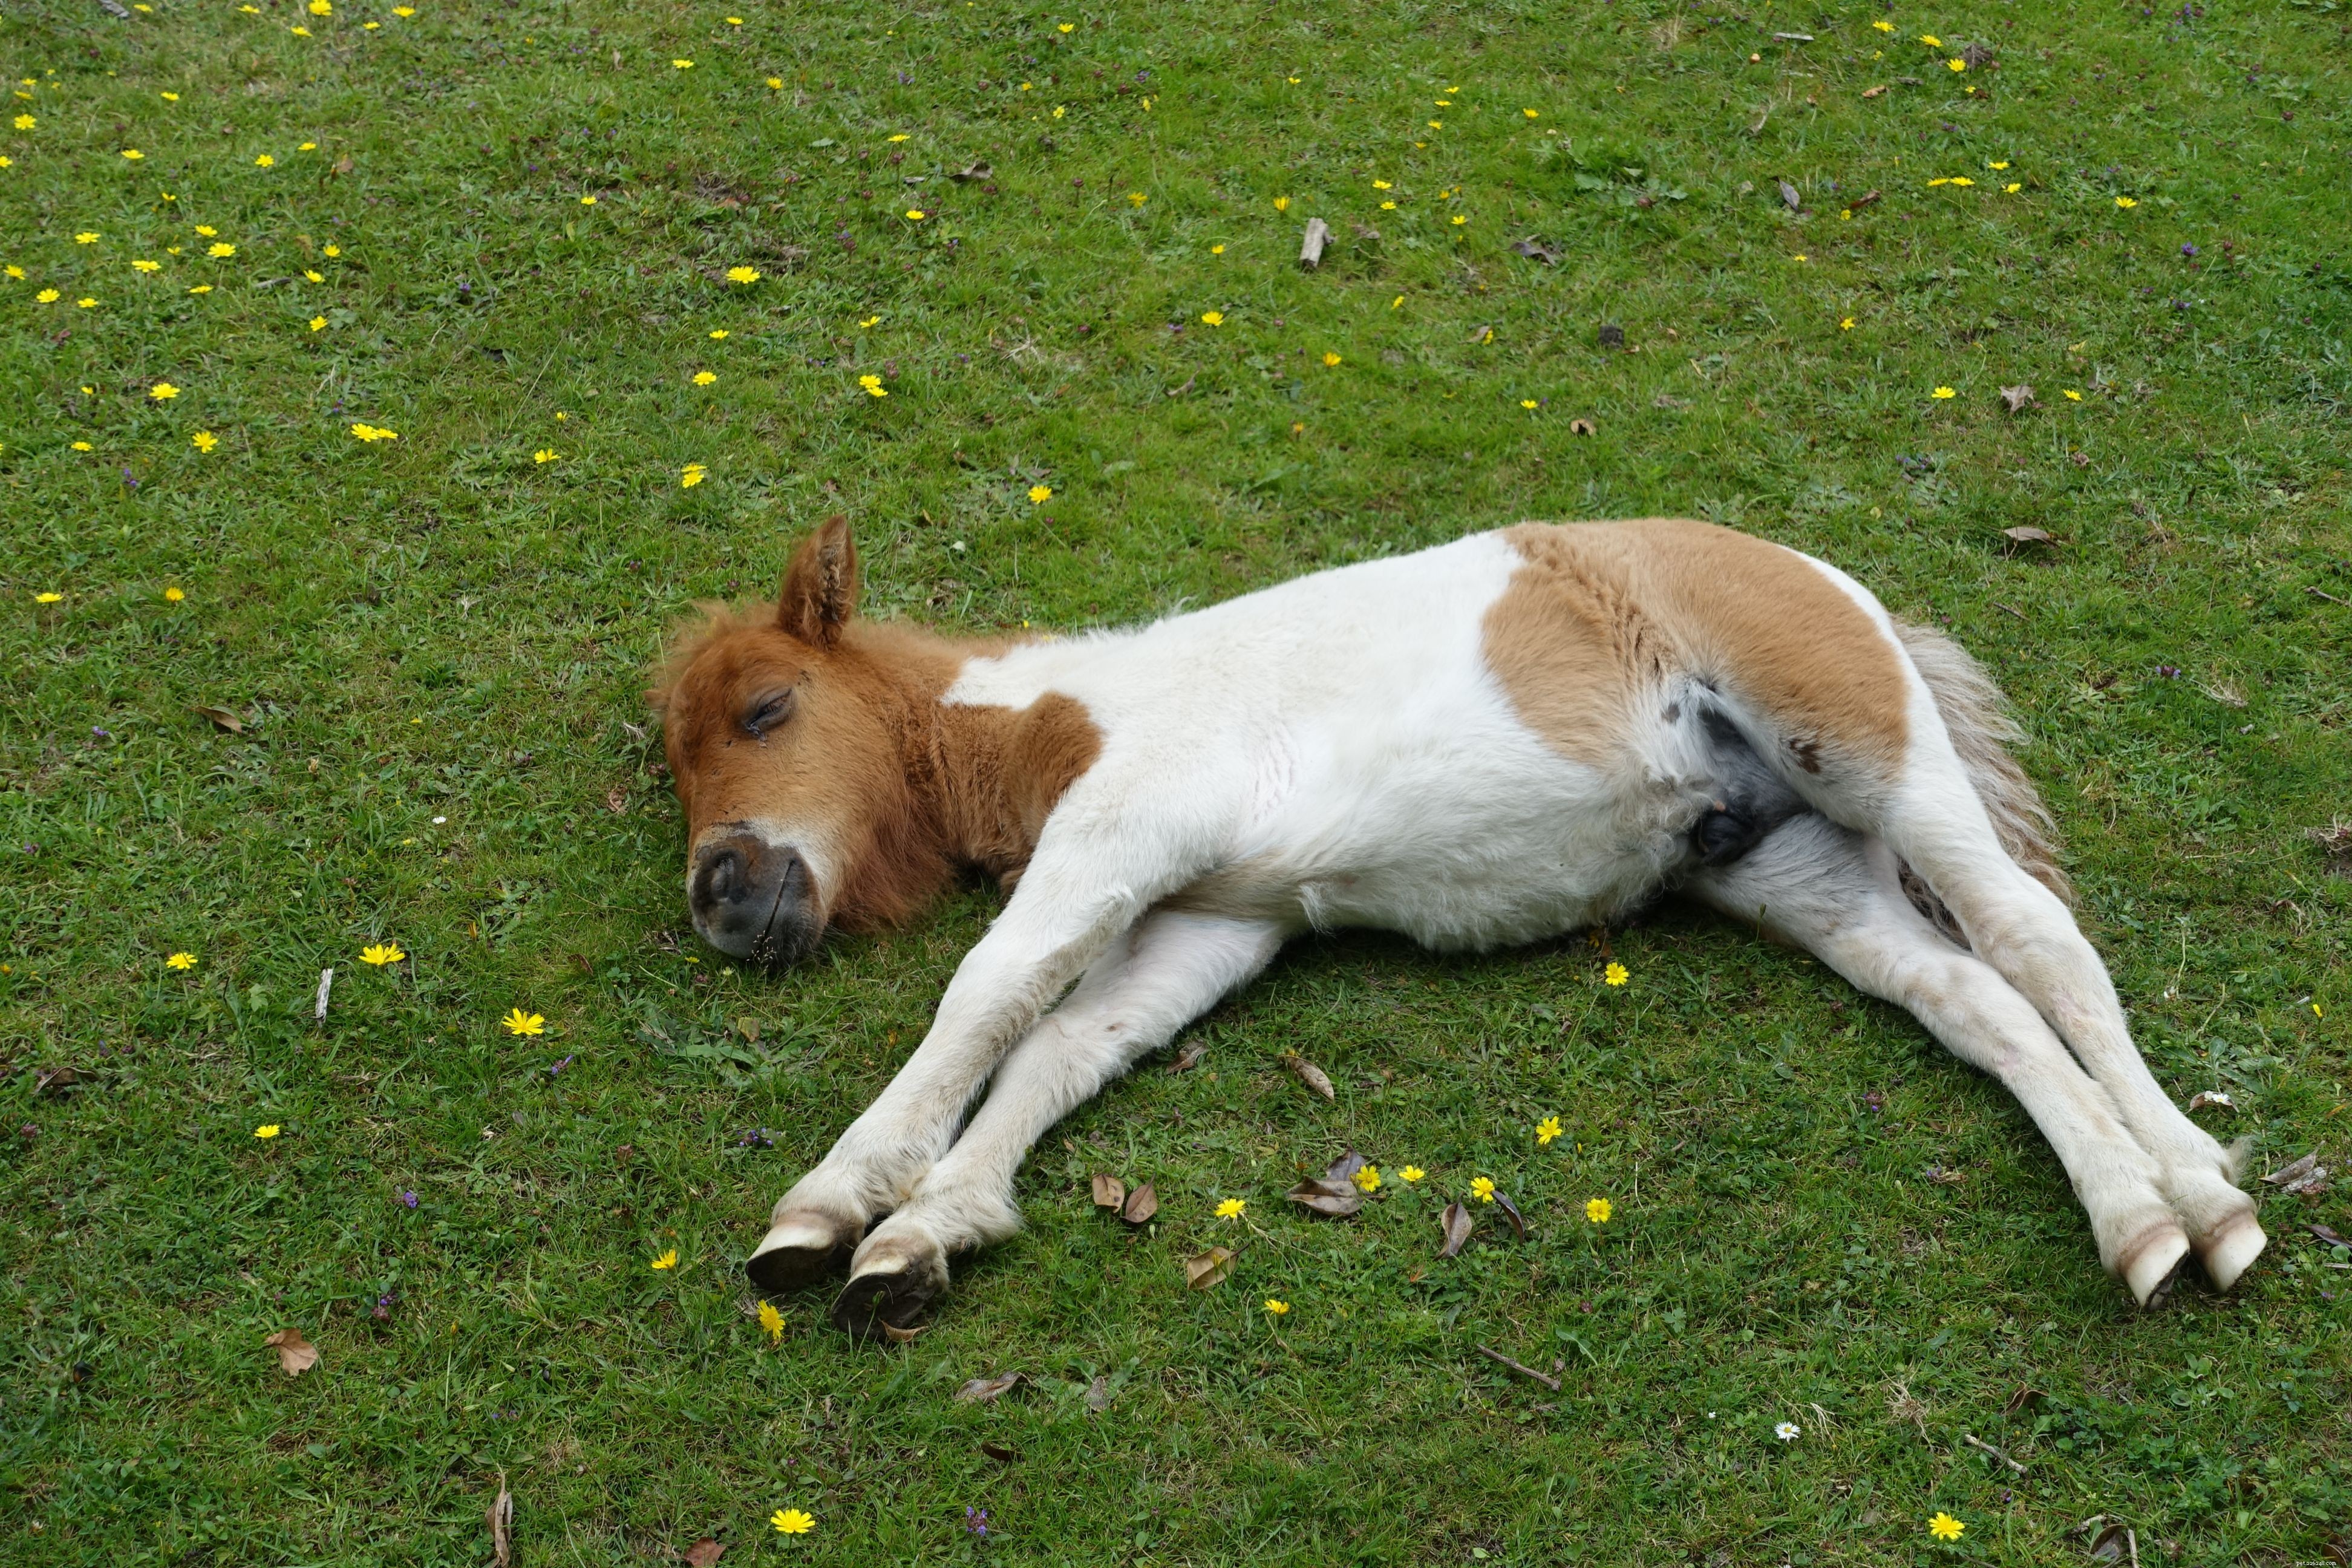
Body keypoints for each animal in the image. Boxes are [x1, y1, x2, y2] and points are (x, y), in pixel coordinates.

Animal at [650, 514, 2264, 1337]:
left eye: (767, 708)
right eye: (677, 760)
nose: (723, 894)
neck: (1086, 715)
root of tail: (1823, 572)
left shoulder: (1128, 830)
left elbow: (991, 996)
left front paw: (834, 1203)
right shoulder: (1215, 918)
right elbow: (1068, 1044)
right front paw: (930, 1233)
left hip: (1876, 758)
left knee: (2041, 946)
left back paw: (2205, 1195)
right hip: (1789, 866)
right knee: (1970, 997)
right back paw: (2136, 1225)